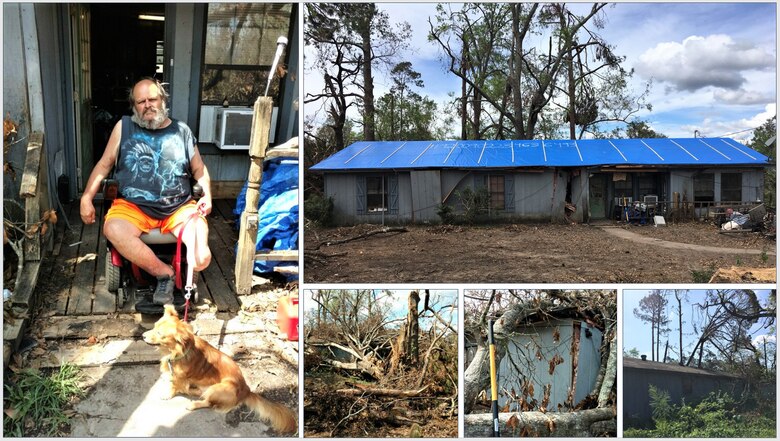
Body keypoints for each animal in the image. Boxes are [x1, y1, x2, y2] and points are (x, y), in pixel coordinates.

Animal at [142, 302, 298, 434]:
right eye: (154, 326)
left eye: (160, 334)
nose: (142, 336)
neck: (177, 352)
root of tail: (246, 390)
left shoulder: (180, 377)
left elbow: (174, 386)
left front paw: (168, 394)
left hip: (219, 388)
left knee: (208, 402)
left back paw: (193, 403)